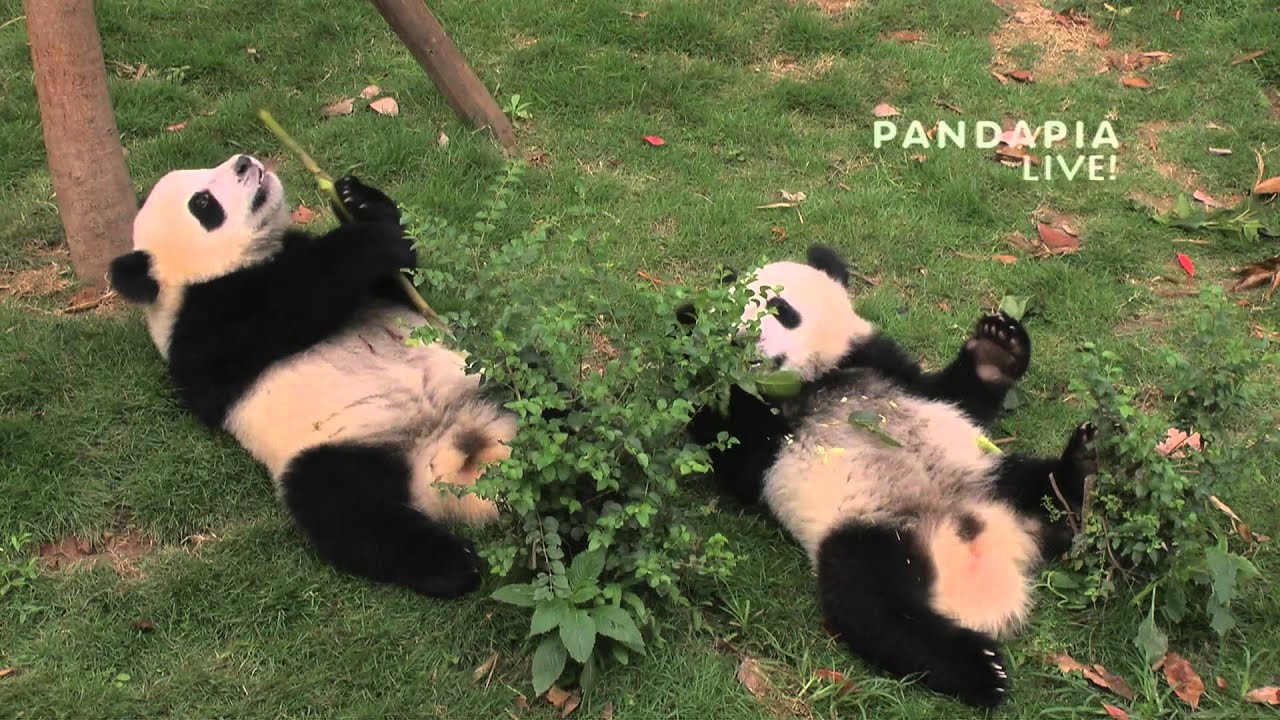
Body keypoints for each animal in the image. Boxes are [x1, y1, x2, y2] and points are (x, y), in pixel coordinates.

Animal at [108, 154, 516, 599]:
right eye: (202, 203)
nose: (244, 162)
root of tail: (448, 455)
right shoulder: (200, 331)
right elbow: (293, 304)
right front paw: (370, 236)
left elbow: (400, 284)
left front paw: (357, 199)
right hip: (341, 449)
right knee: (348, 511)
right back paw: (455, 564)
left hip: (482, 379)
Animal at [679, 244, 1096, 707]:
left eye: (779, 308)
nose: (741, 340)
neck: (811, 382)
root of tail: (981, 544)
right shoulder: (763, 448)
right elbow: (738, 452)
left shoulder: (884, 366)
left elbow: (957, 397)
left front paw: (997, 346)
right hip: (868, 536)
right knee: (875, 609)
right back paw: (981, 668)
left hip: (989, 477)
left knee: (1040, 488)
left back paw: (1080, 467)